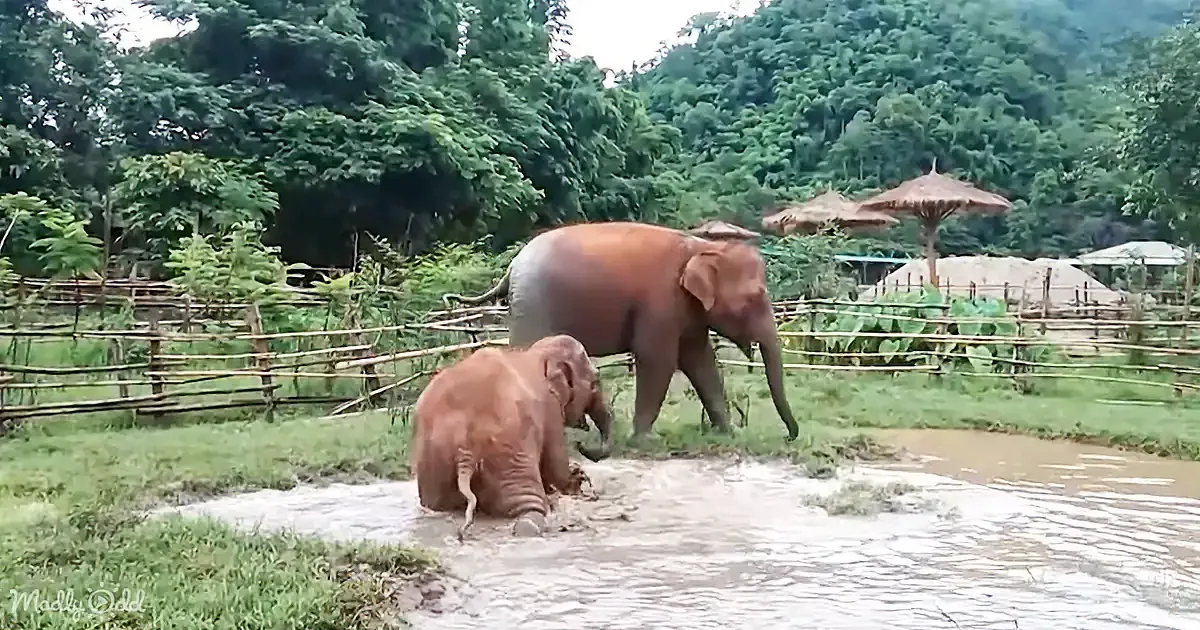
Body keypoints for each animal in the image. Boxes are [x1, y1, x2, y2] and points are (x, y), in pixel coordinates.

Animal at [409, 334, 614, 540]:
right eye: (595, 382)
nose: (581, 445)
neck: (537, 353)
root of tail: (465, 451)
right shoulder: (551, 409)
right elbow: (555, 465)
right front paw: (575, 480)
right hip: (509, 452)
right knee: (531, 508)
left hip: (433, 461)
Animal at [443, 221, 799, 442]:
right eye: (753, 299)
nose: (789, 435)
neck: (701, 247)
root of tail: (511, 268)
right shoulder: (660, 302)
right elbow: (658, 359)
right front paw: (645, 439)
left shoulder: (687, 311)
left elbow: (700, 360)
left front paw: (728, 433)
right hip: (534, 306)